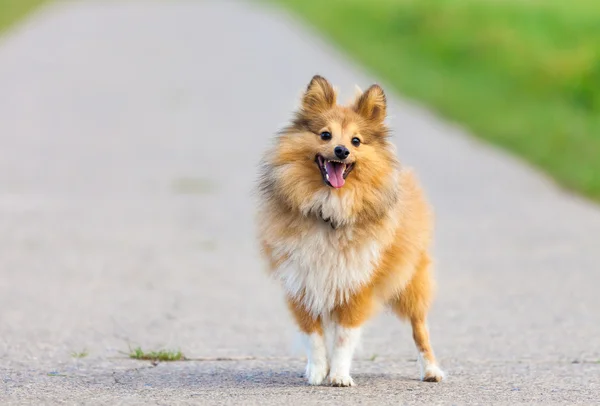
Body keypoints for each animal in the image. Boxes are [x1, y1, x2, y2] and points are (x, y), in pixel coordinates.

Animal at [255, 74, 442, 386]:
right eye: (325, 135)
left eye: (356, 141)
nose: (341, 151)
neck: (329, 211)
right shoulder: (302, 283)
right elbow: (313, 336)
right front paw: (317, 372)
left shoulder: (357, 285)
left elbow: (344, 337)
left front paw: (339, 376)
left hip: (411, 283)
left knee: (420, 329)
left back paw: (431, 371)